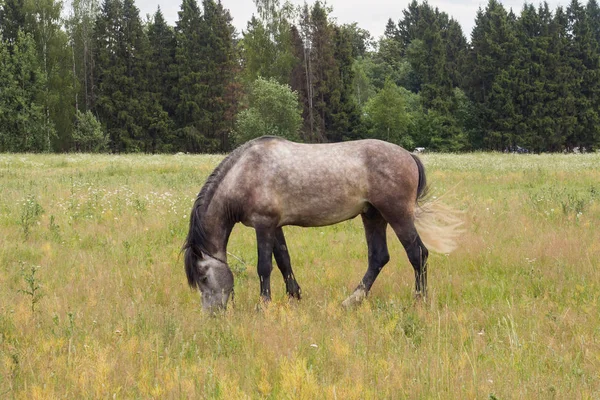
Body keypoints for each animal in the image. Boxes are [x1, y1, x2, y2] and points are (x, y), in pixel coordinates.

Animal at [182, 136, 460, 310]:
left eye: (203, 277)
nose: (212, 315)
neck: (246, 172)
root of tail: (409, 156)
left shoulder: (264, 225)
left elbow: (265, 267)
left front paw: (264, 305)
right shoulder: (275, 226)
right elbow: (284, 261)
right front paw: (294, 296)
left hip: (397, 214)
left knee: (418, 254)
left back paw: (419, 301)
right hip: (373, 215)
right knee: (378, 257)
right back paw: (351, 301)